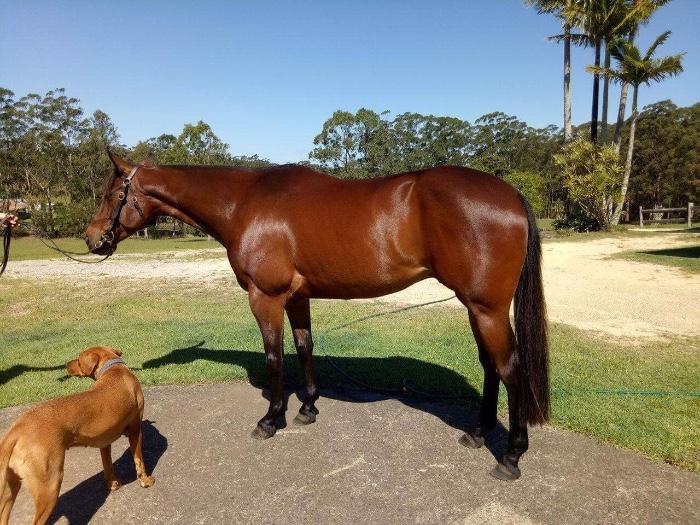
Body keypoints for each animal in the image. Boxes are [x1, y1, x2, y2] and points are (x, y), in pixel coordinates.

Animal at [85, 153, 549, 481]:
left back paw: (511, 455)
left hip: (487, 309)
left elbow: (275, 358)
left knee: (510, 369)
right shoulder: (296, 297)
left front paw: (271, 419)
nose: (92, 239)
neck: (244, 203)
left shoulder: (265, 297)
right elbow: (304, 346)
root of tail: (510, 194)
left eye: (110, 195)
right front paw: (307, 407)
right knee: (490, 366)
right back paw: (478, 433)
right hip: (476, 307)